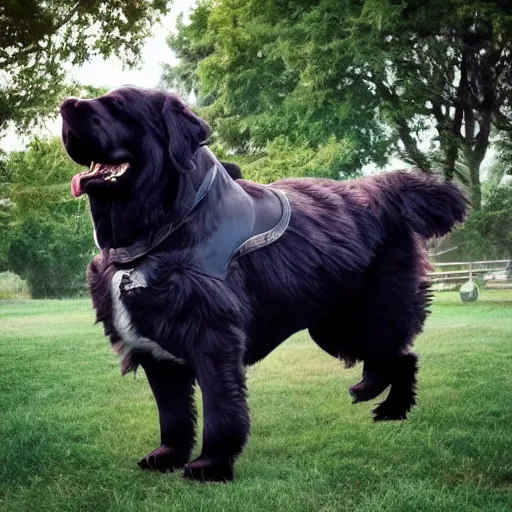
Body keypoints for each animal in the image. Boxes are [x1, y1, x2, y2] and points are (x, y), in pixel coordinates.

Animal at [60, 86, 468, 482]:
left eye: (118, 104)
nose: (65, 106)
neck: (164, 227)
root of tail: (381, 191)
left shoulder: (213, 339)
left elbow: (221, 408)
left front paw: (211, 465)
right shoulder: (157, 350)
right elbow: (172, 413)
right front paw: (168, 457)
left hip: (367, 316)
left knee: (402, 356)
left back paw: (392, 409)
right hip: (334, 326)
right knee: (385, 358)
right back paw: (367, 390)